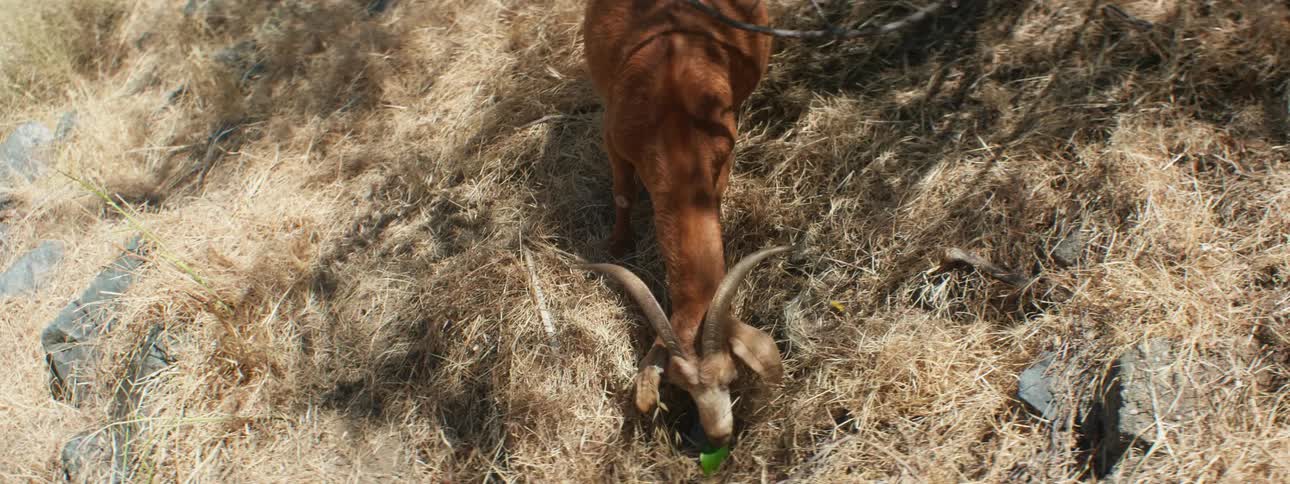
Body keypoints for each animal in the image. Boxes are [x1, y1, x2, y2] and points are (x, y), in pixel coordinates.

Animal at [580, 0, 782, 447]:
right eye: (681, 386)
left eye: (729, 375)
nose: (719, 436)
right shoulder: (613, 139)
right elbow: (622, 192)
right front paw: (619, 245)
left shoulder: (723, 152)